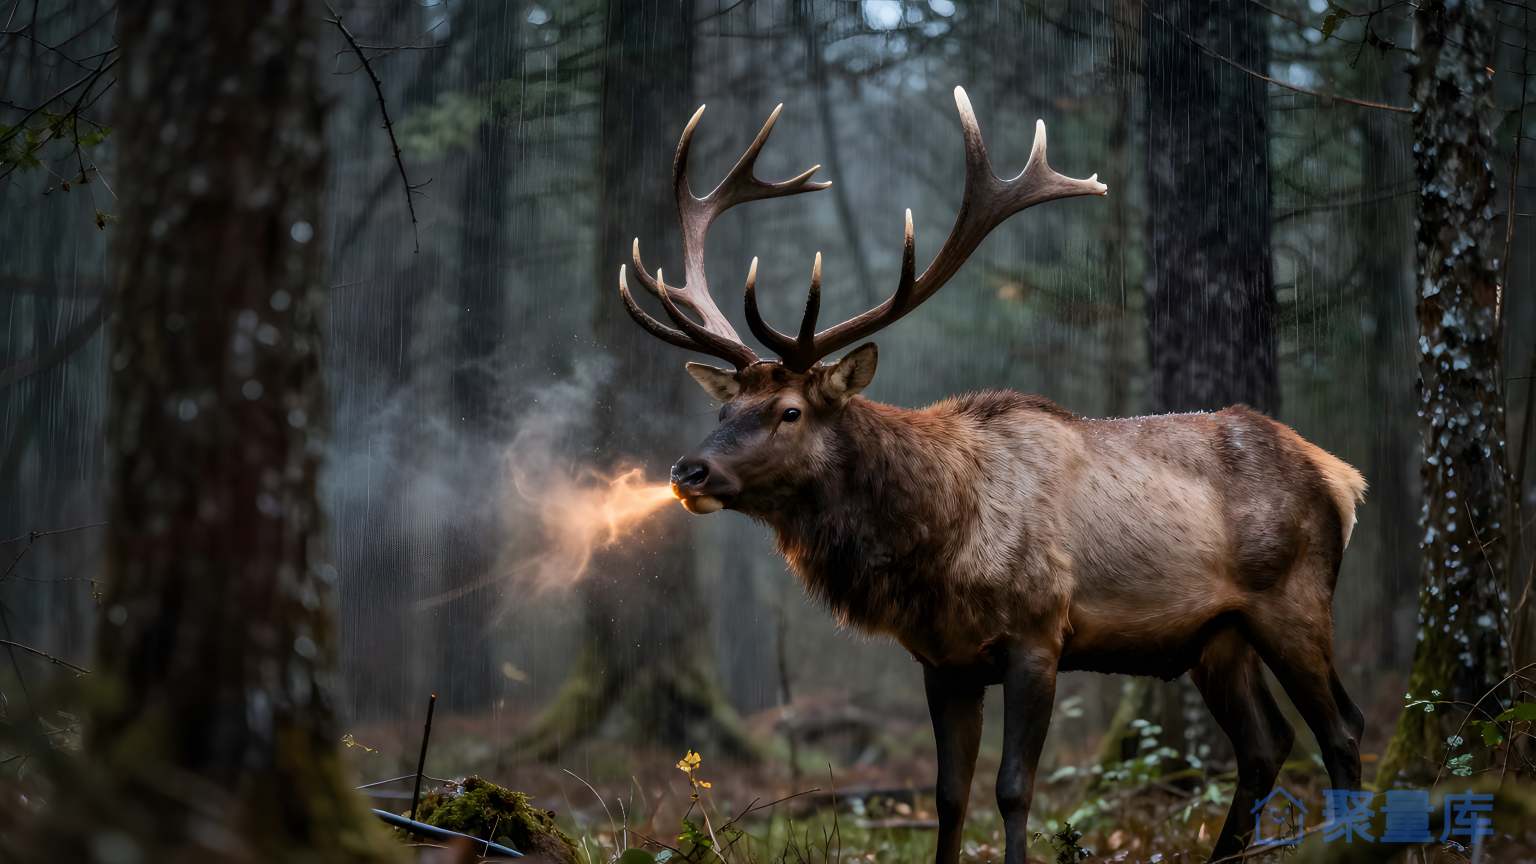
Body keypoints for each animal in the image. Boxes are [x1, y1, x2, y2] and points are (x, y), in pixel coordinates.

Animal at [615, 87, 1367, 864]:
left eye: (789, 410)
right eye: (725, 405)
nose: (687, 470)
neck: (940, 541)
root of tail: (1341, 477)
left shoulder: (1039, 633)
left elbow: (1011, 789)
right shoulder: (942, 660)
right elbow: (950, 796)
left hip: (1293, 600)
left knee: (1342, 729)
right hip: (1216, 635)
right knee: (1266, 744)